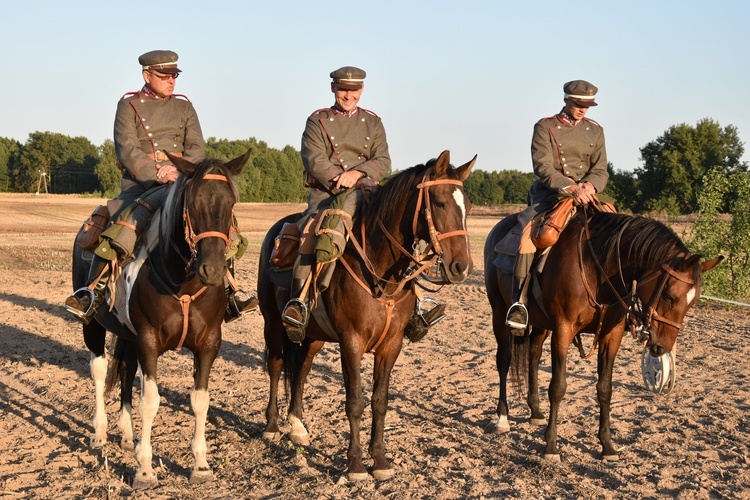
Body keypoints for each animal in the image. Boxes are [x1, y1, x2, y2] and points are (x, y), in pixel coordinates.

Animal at [71, 149, 251, 488]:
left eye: (231, 203)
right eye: (192, 203)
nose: (213, 270)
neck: (183, 283)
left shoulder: (209, 344)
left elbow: (200, 400)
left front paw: (201, 465)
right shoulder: (148, 341)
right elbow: (150, 401)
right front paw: (144, 469)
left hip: (127, 336)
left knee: (125, 372)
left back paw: (127, 435)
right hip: (94, 326)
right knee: (99, 369)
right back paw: (100, 433)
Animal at [258, 149, 476, 480]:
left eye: (469, 206)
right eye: (439, 202)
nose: (461, 267)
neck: (380, 274)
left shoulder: (391, 346)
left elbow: (380, 401)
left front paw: (380, 460)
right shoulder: (352, 343)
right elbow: (355, 401)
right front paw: (356, 464)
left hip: (312, 336)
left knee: (302, 370)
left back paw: (297, 427)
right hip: (273, 323)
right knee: (276, 364)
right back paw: (271, 426)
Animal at [484, 207, 724, 460]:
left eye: (693, 302)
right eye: (669, 297)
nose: (662, 347)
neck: (596, 267)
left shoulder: (611, 335)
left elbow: (605, 389)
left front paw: (607, 444)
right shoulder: (563, 330)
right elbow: (558, 387)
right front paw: (551, 446)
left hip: (541, 325)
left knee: (533, 357)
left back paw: (535, 411)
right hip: (499, 312)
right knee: (504, 360)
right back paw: (502, 418)